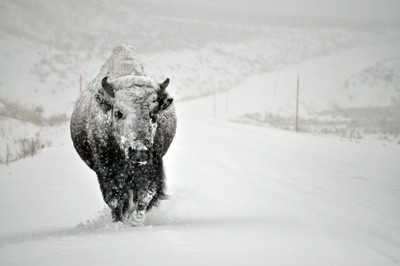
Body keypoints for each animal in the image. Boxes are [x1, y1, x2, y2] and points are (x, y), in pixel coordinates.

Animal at [70, 44, 177, 224]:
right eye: (118, 113)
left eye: (153, 113)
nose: (138, 152)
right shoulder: (107, 170)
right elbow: (115, 199)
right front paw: (119, 222)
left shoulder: (151, 166)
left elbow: (145, 195)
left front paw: (135, 222)